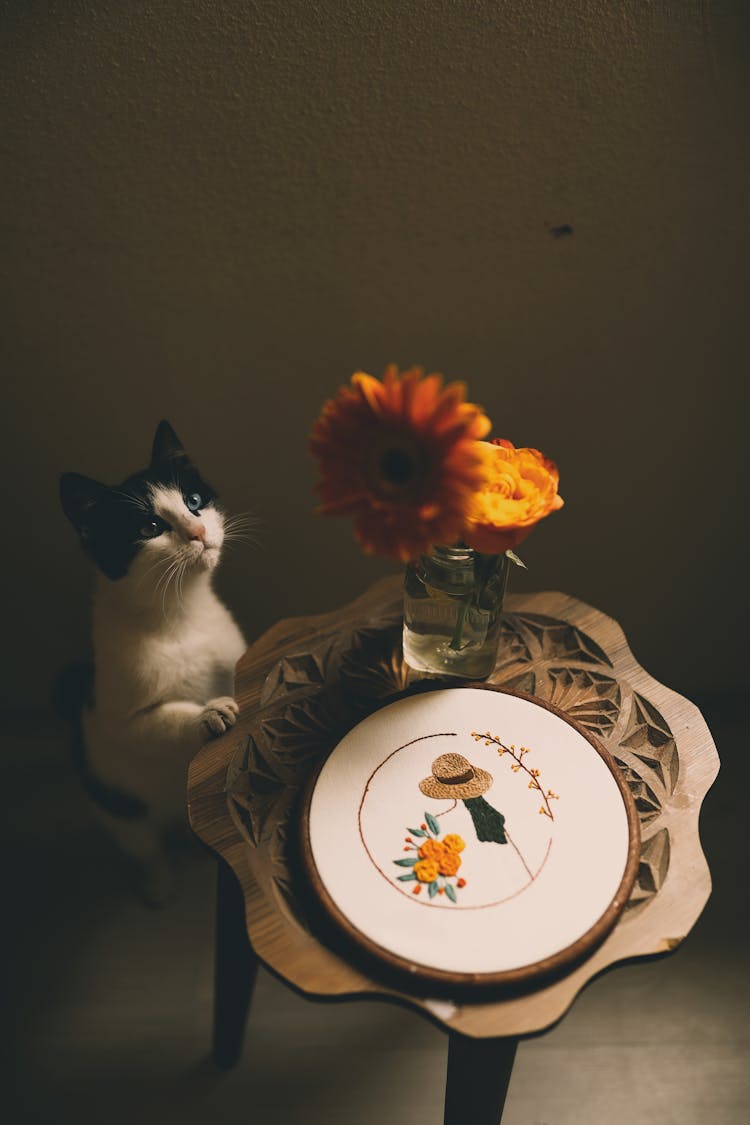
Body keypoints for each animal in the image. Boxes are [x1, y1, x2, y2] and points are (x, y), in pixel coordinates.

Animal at [59, 418, 246, 900]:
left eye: (194, 501)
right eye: (150, 526)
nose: (198, 533)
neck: (180, 614)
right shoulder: (117, 719)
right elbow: (158, 720)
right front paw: (209, 713)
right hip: (120, 808)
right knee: (145, 846)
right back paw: (159, 884)